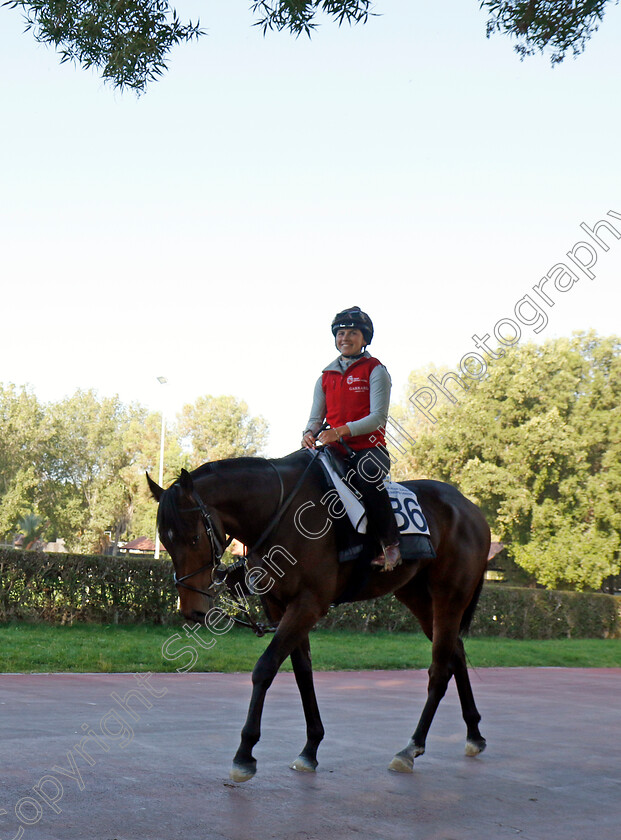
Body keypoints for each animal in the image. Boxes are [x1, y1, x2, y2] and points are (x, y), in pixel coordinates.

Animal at [145, 450, 490, 784]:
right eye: (165, 540)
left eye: (193, 538)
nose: (191, 608)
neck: (280, 512)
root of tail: (469, 508)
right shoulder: (280, 605)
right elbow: (302, 674)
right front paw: (310, 748)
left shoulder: (308, 605)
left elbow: (265, 668)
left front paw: (245, 753)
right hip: (416, 594)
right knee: (456, 652)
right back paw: (474, 732)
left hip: (449, 596)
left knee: (439, 670)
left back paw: (412, 747)